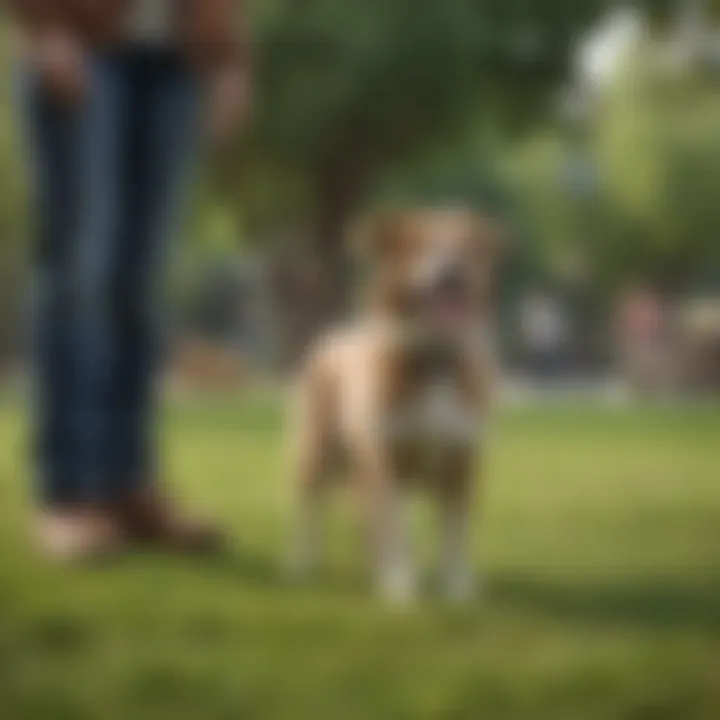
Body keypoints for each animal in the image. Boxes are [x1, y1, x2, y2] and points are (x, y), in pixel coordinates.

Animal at [286, 207, 500, 600]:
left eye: (465, 246)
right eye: (420, 246)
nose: (454, 269)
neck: (434, 361)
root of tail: (331, 337)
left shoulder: (461, 459)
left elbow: (455, 533)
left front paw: (457, 586)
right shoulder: (388, 458)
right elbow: (397, 531)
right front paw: (400, 586)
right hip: (318, 449)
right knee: (311, 506)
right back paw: (301, 563)